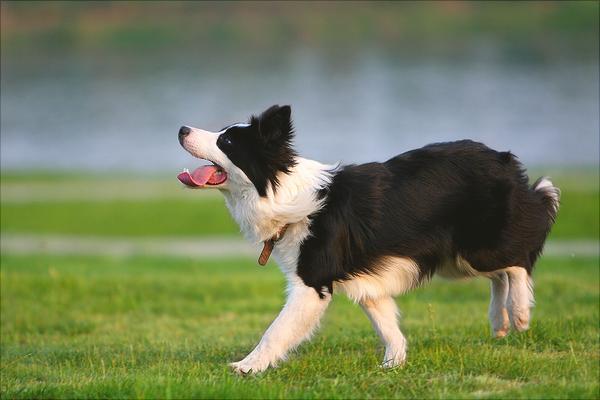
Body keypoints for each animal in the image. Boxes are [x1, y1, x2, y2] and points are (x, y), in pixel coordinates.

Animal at [176, 104, 560, 374]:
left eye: (226, 141)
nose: (181, 129)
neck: (280, 192)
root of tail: (504, 160)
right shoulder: (367, 283)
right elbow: (388, 326)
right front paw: (394, 364)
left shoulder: (312, 283)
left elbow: (276, 330)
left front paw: (247, 367)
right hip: (458, 259)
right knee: (500, 273)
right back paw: (499, 321)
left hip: (476, 247)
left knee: (518, 261)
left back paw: (519, 313)